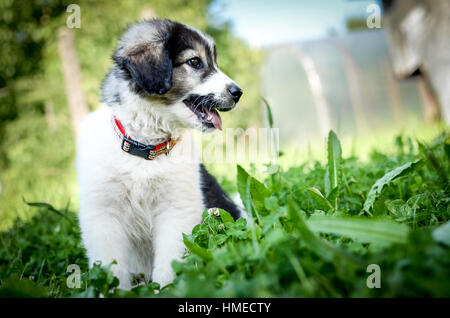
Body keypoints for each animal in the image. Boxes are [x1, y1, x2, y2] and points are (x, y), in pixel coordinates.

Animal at [78, 18, 246, 290]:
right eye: (195, 62)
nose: (238, 92)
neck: (146, 147)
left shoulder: (177, 210)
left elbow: (169, 264)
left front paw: (167, 289)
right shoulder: (103, 214)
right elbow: (112, 268)